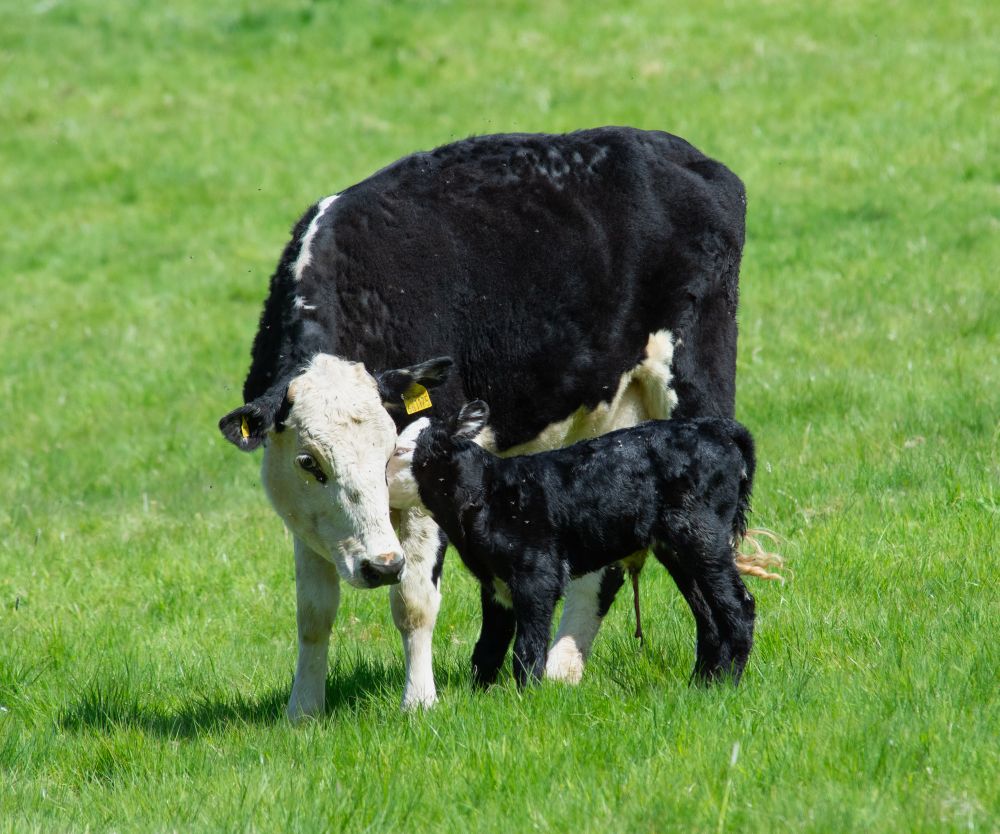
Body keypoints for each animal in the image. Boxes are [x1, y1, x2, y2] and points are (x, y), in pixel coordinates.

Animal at [387, 401, 758, 687]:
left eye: (402, 451)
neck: (490, 494)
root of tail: (717, 429)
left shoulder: (538, 575)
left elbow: (528, 648)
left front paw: (527, 699)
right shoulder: (494, 582)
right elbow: (489, 645)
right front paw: (481, 697)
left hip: (702, 534)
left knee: (739, 607)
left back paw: (724, 686)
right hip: (677, 548)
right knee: (709, 617)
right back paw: (701, 684)